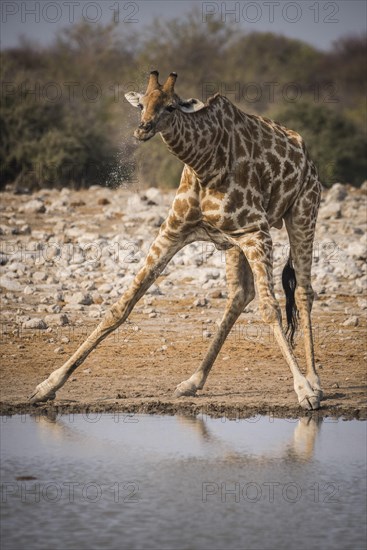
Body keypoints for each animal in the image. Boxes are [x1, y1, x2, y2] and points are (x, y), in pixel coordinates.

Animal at [30, 70, 324, 410]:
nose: (142, 129)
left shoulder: (255, 232)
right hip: (234, 243)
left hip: (303, 211)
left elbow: (270, 309)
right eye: (141, 103)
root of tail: (308, 157)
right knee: (240, 294)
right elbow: (121, 305)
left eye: (170, 106)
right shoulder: (174, 231)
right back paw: (193, 381)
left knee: (303, 291)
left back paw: (316, 382)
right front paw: (47, 385)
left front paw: (303, 390)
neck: (204, 164)